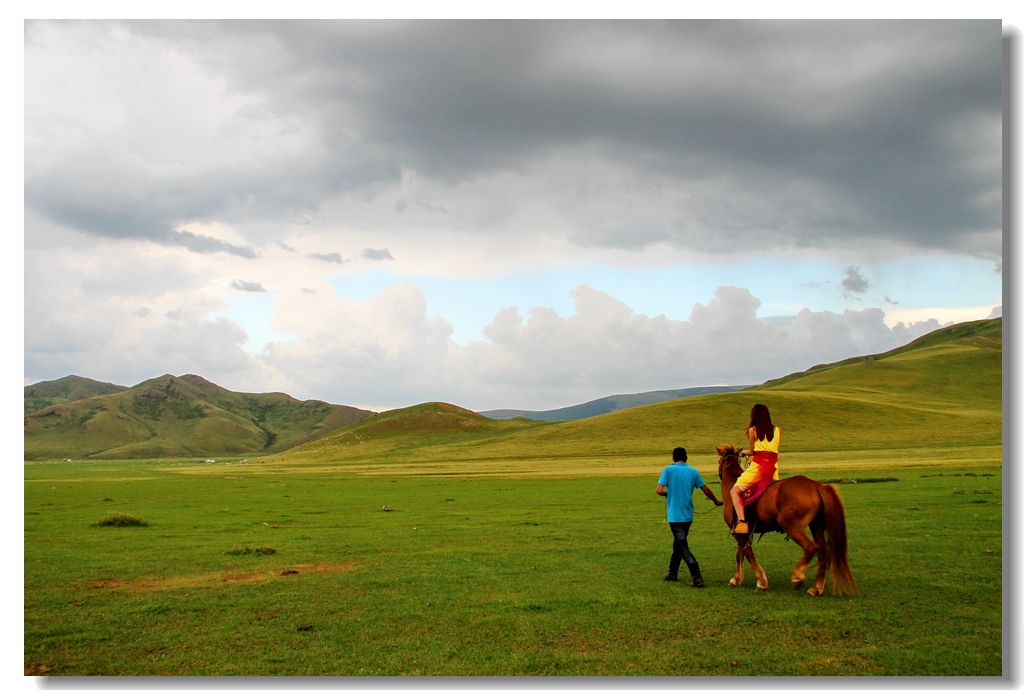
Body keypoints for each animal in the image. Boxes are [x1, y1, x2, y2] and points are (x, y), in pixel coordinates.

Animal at [712, 444, 856, 593]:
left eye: (719, 460)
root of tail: (817, 486)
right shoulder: (743, 533)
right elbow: (740, 554)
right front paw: (737, 579)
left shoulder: (739, 532)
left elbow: (747, 553)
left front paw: (761, 582)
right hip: (817, 526)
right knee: (822, 552)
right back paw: (815, 588)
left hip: (792, 526)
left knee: (810, 547)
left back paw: (798, 577)